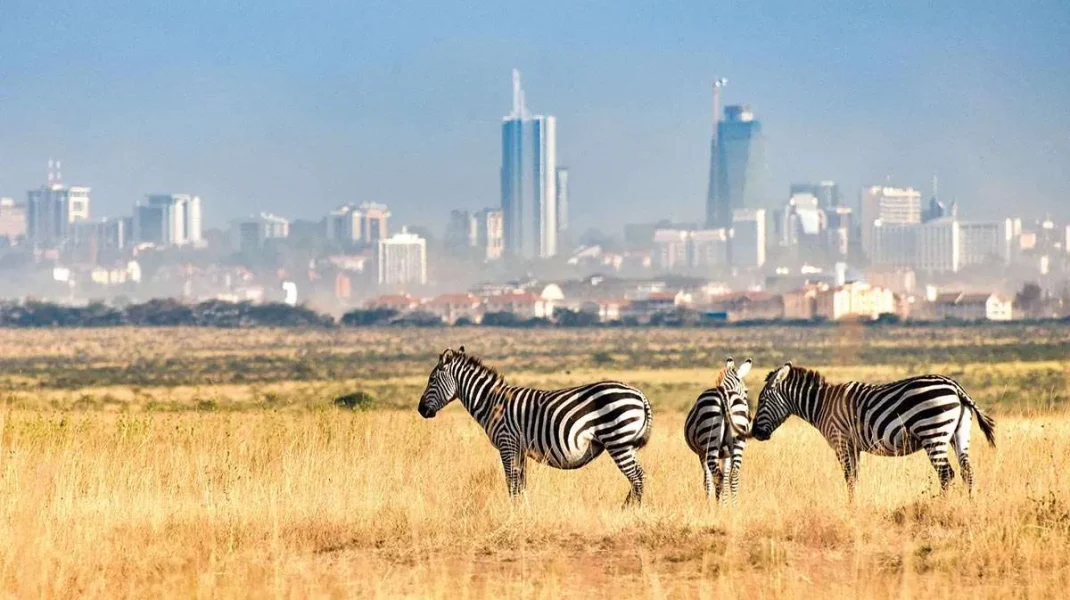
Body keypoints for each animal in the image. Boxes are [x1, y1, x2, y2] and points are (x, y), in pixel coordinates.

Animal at [415, 346, 650, 504]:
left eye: (432, 380)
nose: (420, 410)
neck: (491, 402)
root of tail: (640, 394)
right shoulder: (519, 448)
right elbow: (521, 483)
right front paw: (524, 509)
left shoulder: (507, 443)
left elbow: (511, 482)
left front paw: (514, 512)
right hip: (626, 444)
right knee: (639, 476)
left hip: (617, 440)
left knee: (637, 477)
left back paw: (629, 512)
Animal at [684, 357, 753, 502]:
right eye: (746, 391)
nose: (750, 418)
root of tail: (725, 395)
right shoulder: (726, 454)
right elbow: (726, 478)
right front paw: (725, 501)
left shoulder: (701, 452)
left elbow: (707, 480)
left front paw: (709, 502)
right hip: (738, 442)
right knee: (733, 476)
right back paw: (734, 505)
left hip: (710, 442)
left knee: (718, 477)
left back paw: (717, 505)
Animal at [753, 363, 992, 498]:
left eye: (762, 400)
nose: (755, 433)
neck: (822, 404)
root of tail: (955, 387)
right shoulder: (853, 446)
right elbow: (855, 478)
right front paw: (855, 505)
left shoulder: (840, 442)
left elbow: (849, 477)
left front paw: (851, 509)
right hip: (959, 435)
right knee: (967, 472)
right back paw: (969, 506)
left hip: (932, 433)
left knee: (946, 475)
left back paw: (941, 507)